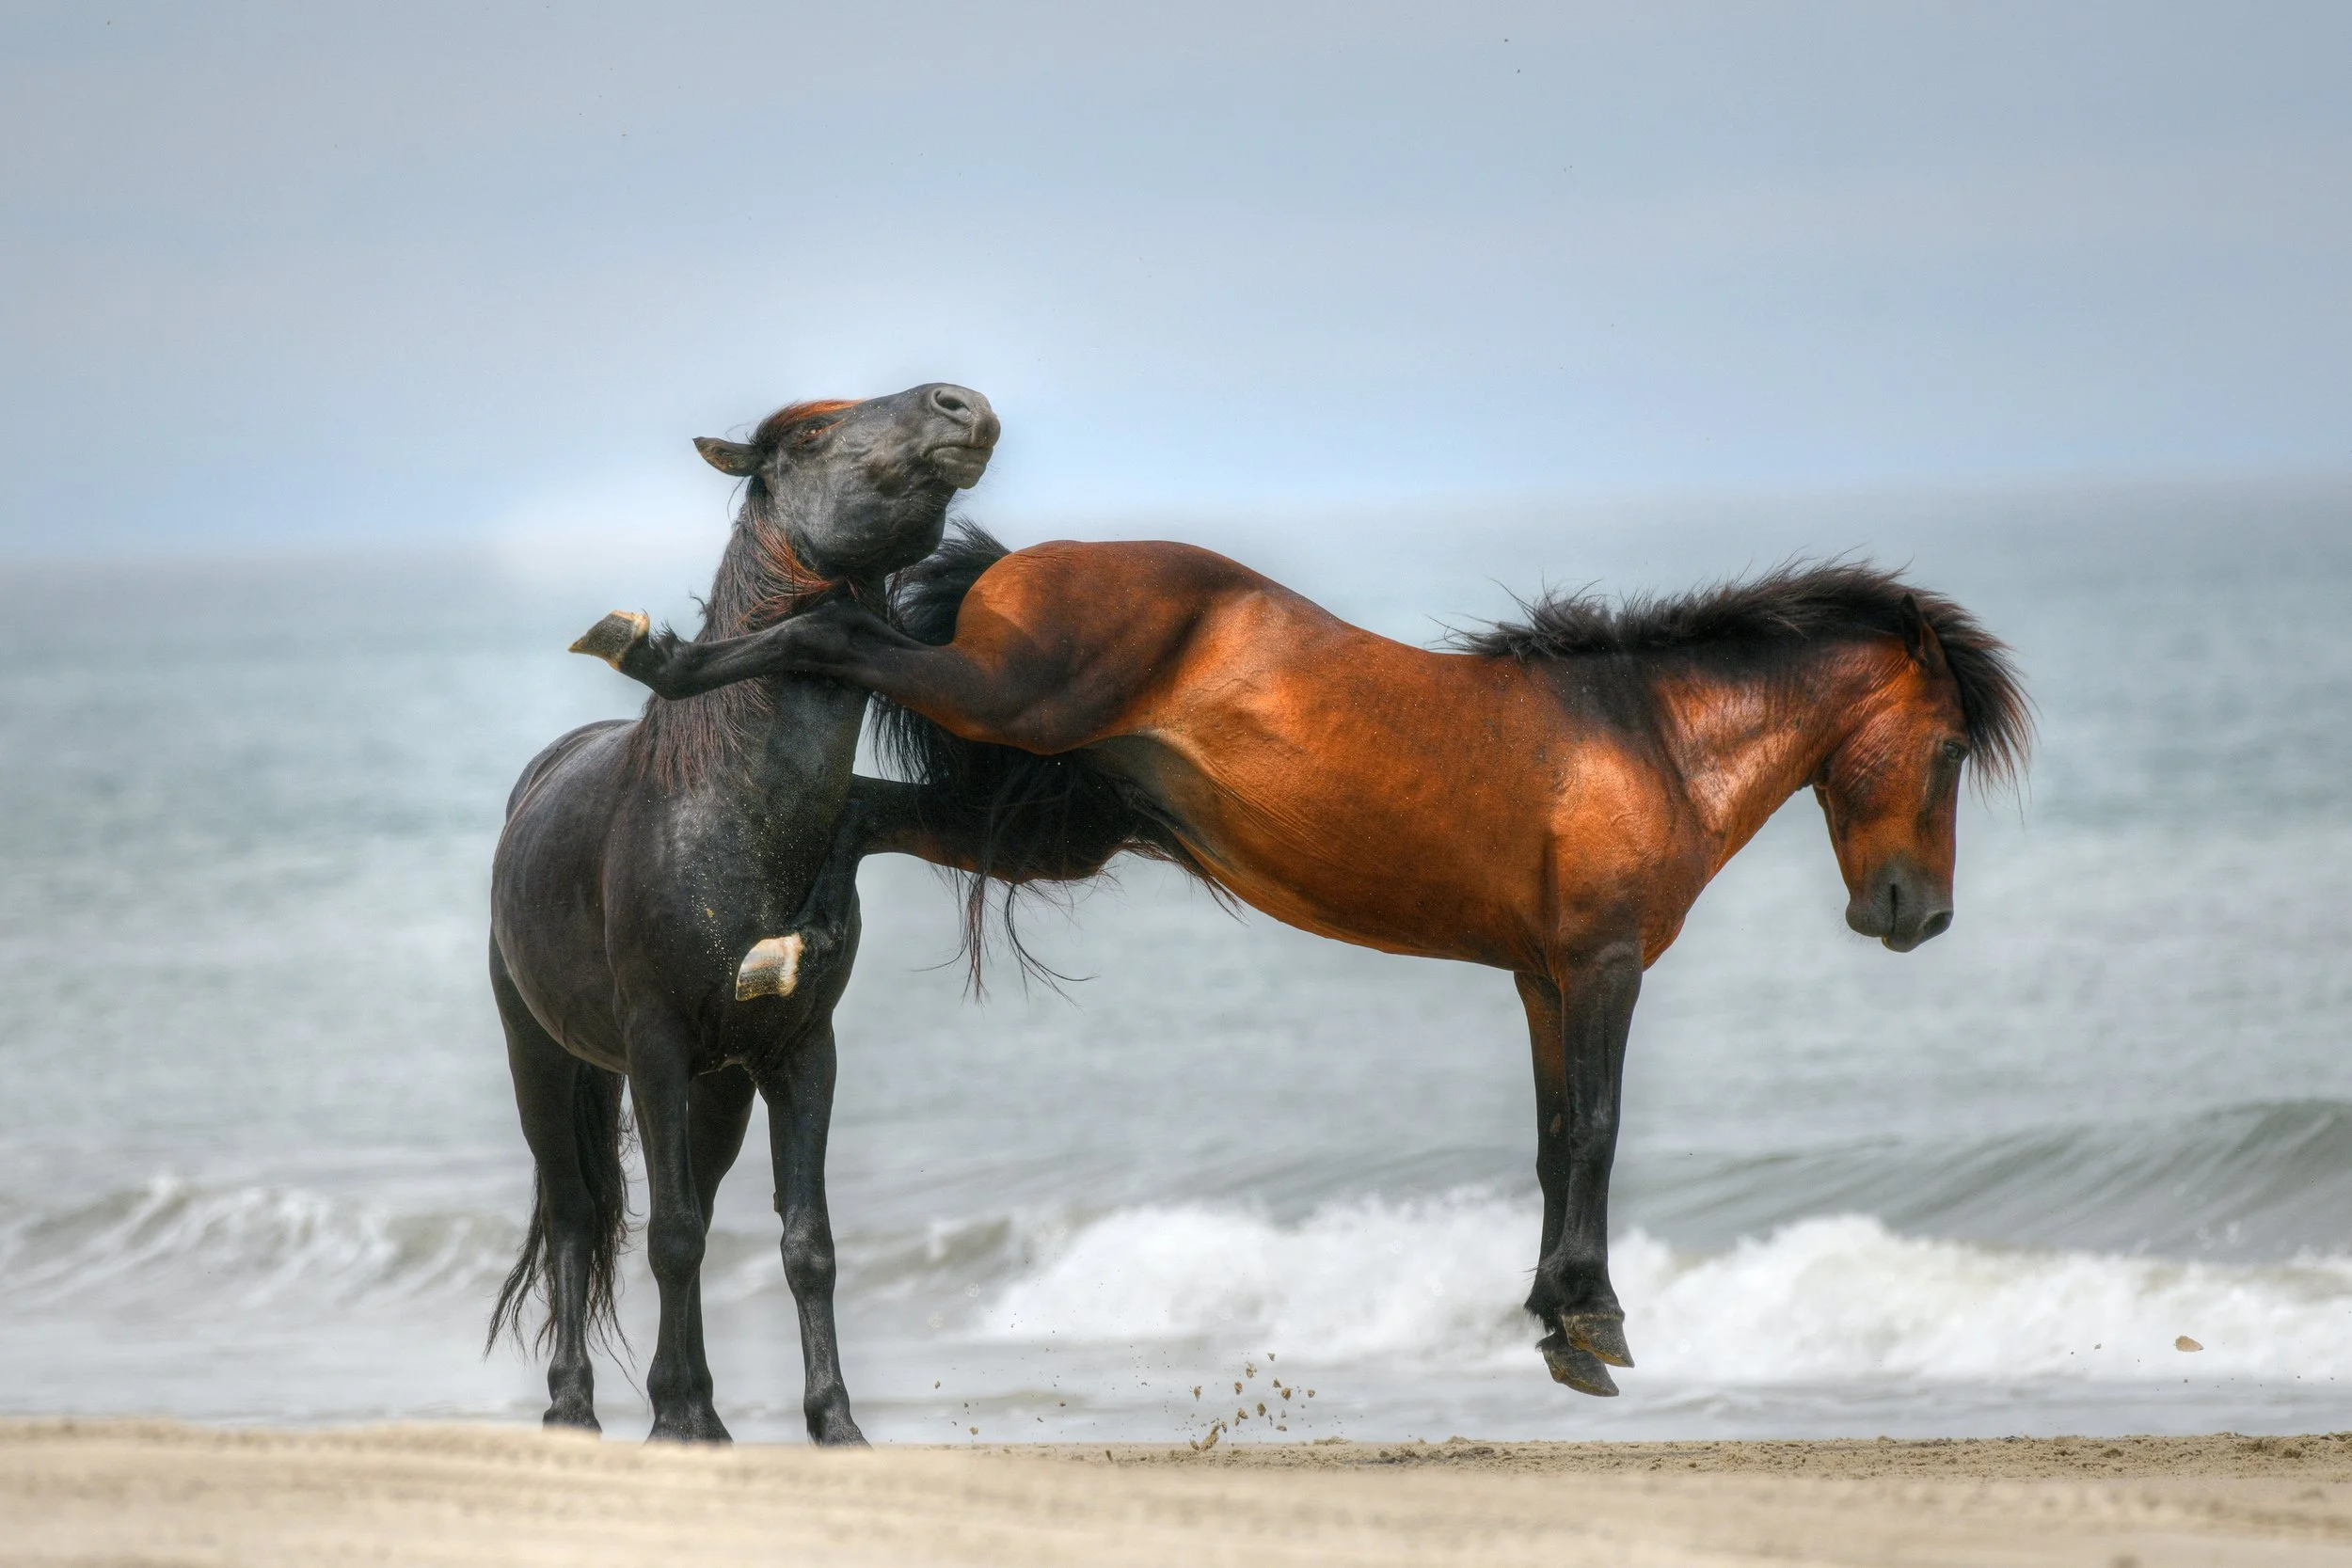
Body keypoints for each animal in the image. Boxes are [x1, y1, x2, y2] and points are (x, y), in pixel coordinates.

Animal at [490, 383, 998, 1444]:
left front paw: (831, 1422)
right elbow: (671, 1235)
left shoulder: (800, 1050)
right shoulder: (654, 1045)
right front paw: (676, 1419)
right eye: (812, 434)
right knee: (574, 1214)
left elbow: (805, 1242)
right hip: (543, 1056)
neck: (722, 812)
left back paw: (700, 1405)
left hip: (716, 1086)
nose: (962, 404)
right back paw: (575, 1407)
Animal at [576, 525, 2029, 1398]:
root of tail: (1021, 559)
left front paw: (1551, 1314)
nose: (1915, 914)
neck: (1646, 741)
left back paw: (784, 945)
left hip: (1050, 817)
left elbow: (1553, 1136)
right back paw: (655, 650)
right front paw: (1596, 1320)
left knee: (865, 813)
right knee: (831, 641)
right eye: (1949, 746)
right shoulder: (1603, 966)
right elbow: (1601, 1129)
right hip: (1006, 703)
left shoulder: (1540, 978)